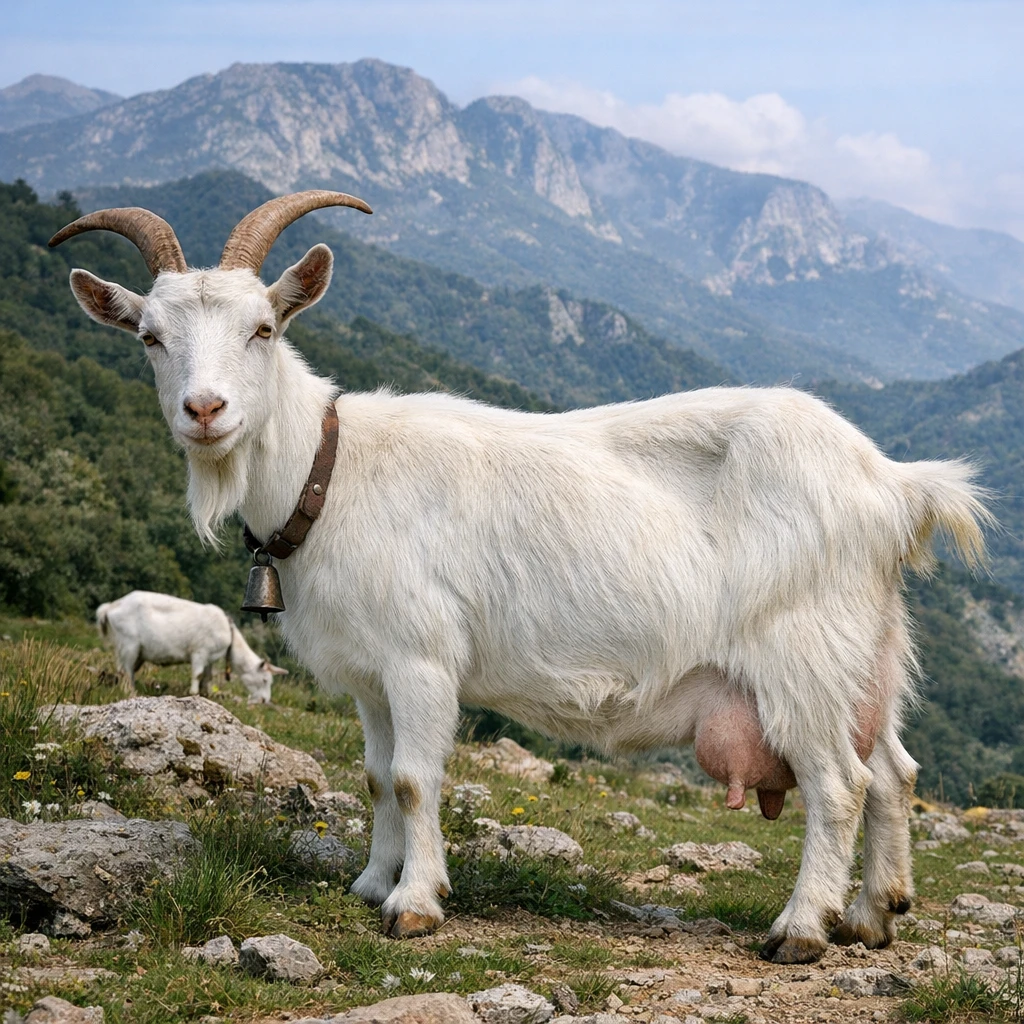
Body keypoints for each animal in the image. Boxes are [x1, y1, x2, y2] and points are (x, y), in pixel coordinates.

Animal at [96, 590, 287, 703]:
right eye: (265, 680)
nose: (264, 701)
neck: (228, 632)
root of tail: (111, 607)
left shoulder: (209, 658)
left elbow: (207, 677)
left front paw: (206, 694)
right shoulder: (199, 652)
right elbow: (197, 674)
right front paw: (194, 693)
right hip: (128, 643)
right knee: (126, 670)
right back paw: (130, 692)